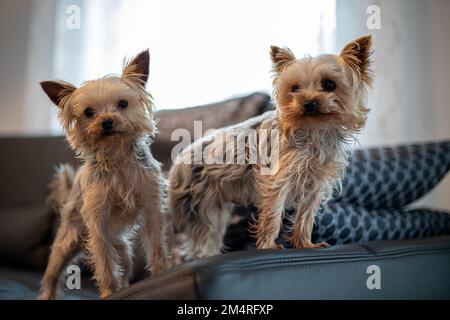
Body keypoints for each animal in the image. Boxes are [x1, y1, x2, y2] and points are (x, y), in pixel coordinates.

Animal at [37, 48, 169, 298]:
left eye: (123, 103)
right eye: (88, 112)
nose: (107, 121)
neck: (116, 157)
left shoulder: (151, 209)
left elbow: (156, 246)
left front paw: (161, 275)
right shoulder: (98, 225)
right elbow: (105, 265)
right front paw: (109, 292)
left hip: (123, 249)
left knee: (125, 267)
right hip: (65, 245)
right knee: (51, 277)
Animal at [169, 35, 372, 260]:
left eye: (329, 84)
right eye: (295, 88)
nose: (308, 103)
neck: (313, 131)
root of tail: (178, 162)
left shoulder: (315, 184)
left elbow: (306, 215)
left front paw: (305, 243)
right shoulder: (278, 180)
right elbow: (273, 214)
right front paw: (268, 245)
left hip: (214, 207)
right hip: (196, 205)